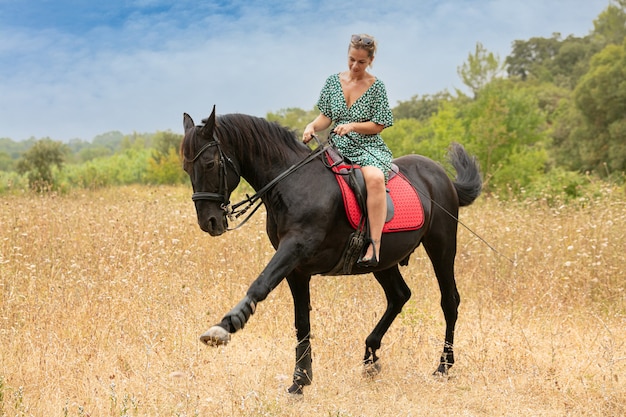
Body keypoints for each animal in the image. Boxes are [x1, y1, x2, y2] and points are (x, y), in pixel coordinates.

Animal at [180, 107, 482, 394]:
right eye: (186, 168)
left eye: (209, 163)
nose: (209, 222)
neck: (293, 183)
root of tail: (440, 176)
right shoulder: (297, 270)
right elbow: (302, 322)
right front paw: (300, 382)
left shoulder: (293, 250)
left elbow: (260, 285)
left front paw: (225, 326)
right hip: (382, 261)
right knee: (399, 296)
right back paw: (370, 358)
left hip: (441, 246)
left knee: (449, 301)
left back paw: (443, 366)